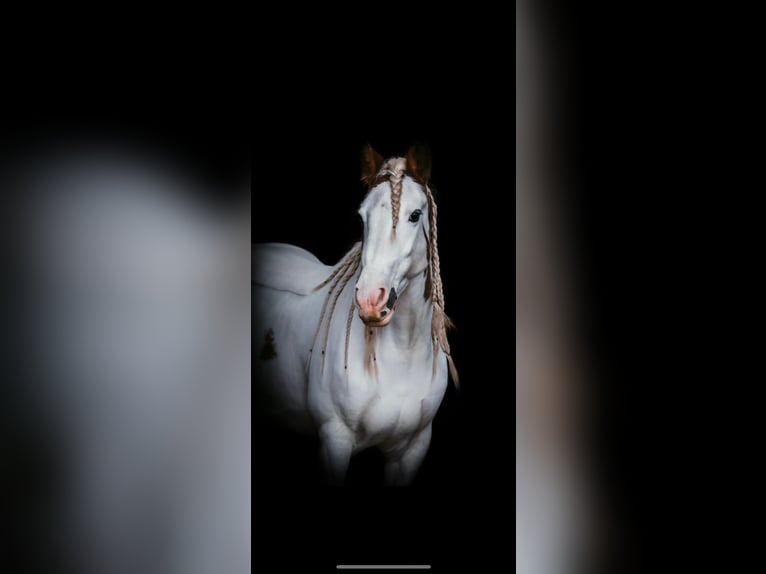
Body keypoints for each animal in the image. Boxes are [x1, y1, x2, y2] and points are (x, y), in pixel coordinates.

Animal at [252, 143, 458, 485]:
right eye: (363, 217)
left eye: (415, 215)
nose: (370, 299)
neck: (402, 355)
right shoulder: (334, 441)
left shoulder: (411, 449)